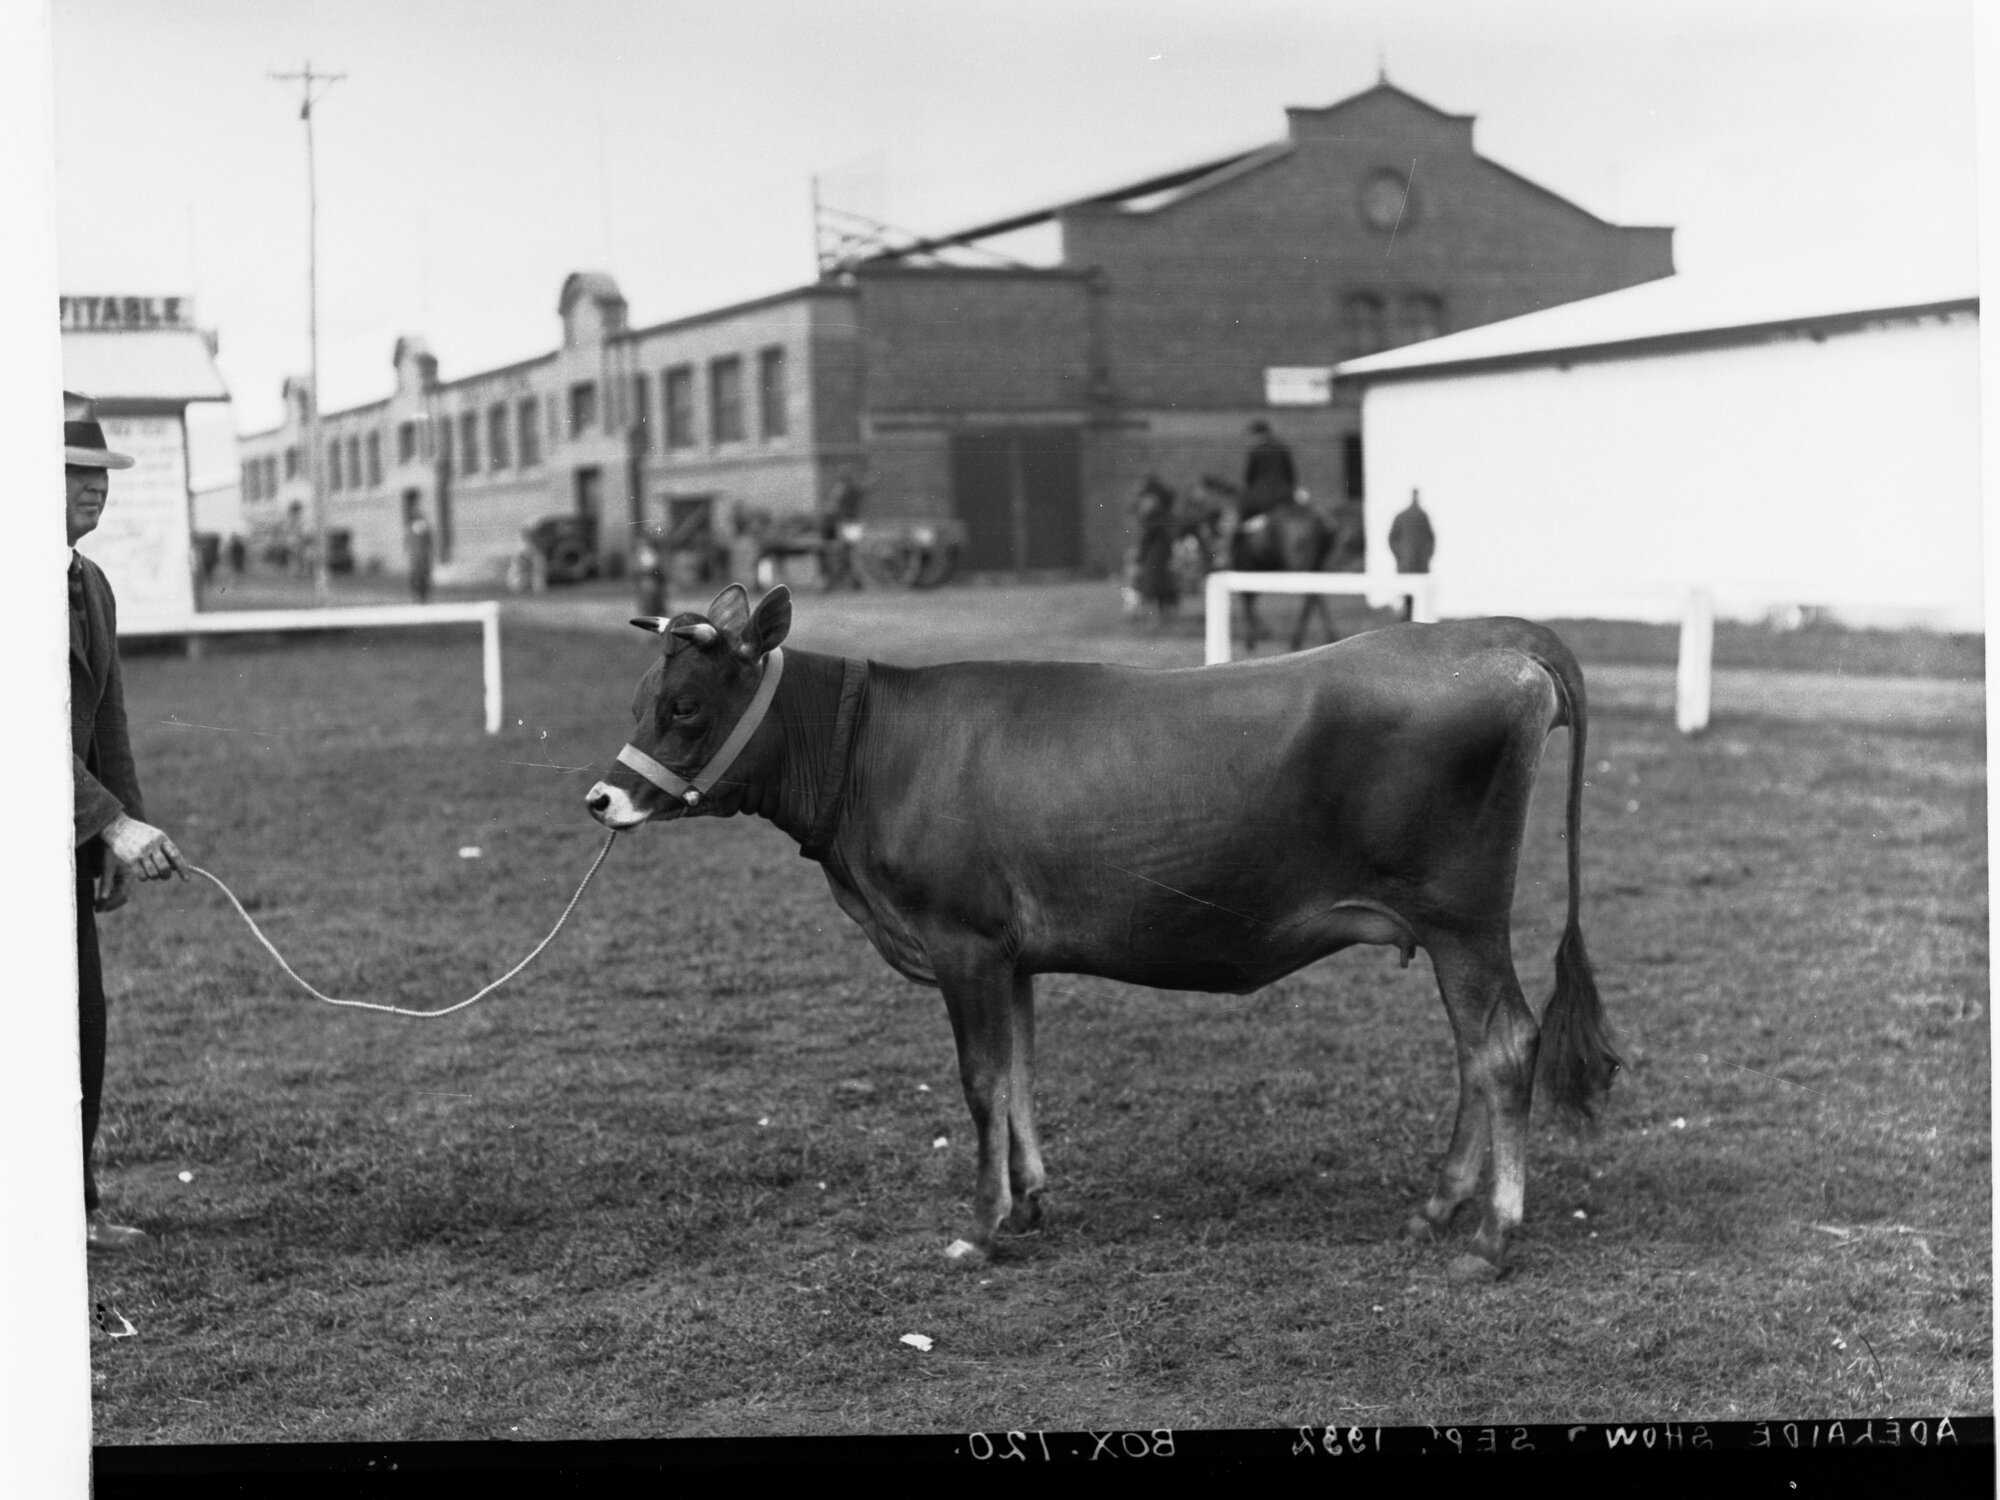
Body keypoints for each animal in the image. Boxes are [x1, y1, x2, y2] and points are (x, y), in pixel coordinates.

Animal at [586, 584, 1620, 1281]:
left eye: (685, 706)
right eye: (638, 698)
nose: (602, 797)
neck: (875, 752)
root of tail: (1493, 636)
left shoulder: (962, 942)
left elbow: (980, 1081)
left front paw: (981, 1226)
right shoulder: (1009, 955)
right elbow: (1020, 1073)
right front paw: (1030, 1202)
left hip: (1463, 918)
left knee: (1503, 1044)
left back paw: (1490, 1237)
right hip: (1451, 929)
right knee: (1473, 1050)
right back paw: (1435, 1209)